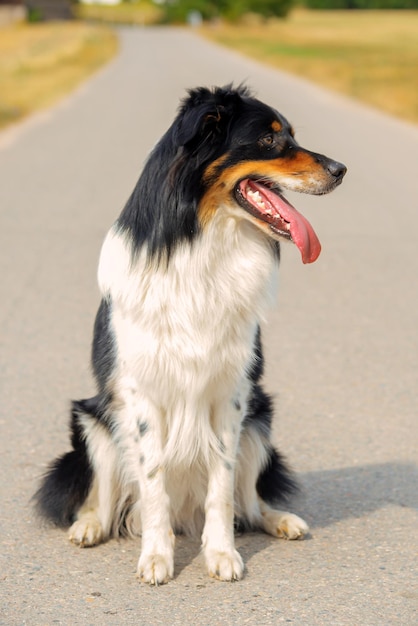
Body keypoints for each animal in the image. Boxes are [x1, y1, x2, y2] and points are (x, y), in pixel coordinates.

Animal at [35, 85, 346, 584]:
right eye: (269, 140)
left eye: (292, 135)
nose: (340, 169)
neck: (204, 239)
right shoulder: (142, 393)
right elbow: (153, 482)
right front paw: (156, 557)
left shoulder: (232, 394)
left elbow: (222, 483)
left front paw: (221, 553)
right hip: (92, 421)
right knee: (105, 496)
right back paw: (89, 525)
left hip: (260, 418)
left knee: (249, 501)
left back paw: (280, 520)